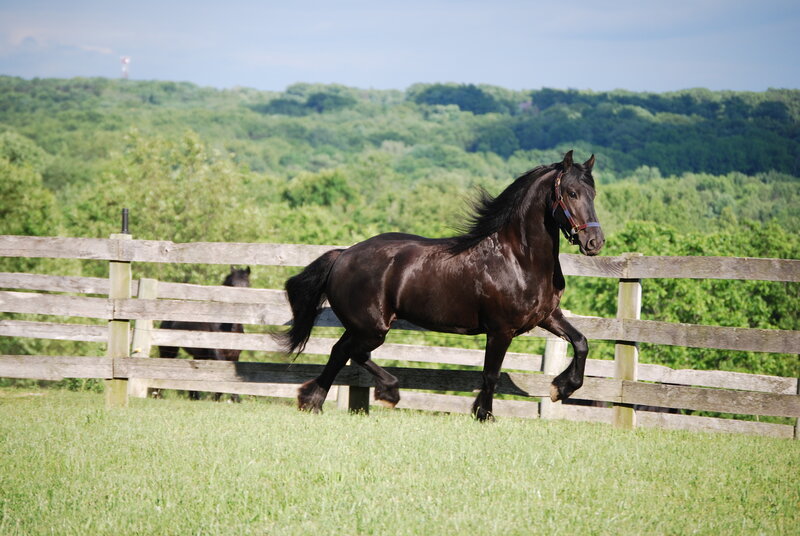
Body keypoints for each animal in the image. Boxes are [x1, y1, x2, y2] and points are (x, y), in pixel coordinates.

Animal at [158, 266, 251, 402]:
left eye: (247, 285)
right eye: (231, 284)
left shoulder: (234, 355)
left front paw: (235, 399)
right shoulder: (217, 353)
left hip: (199, 355)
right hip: (169, 351)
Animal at [277, 151, 604, 421]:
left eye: (593, 194)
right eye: (571, 193)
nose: (594, 242)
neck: (518, 259)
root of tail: (343, 255)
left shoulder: (547, 316)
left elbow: (581, 342)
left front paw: (561, 388)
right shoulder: (500, 330)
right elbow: (491, 374)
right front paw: (484, 415)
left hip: (363, 326)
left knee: (339, 351)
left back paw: (312, 401)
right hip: (373, 328)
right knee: (354, 353)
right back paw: (388, 392)